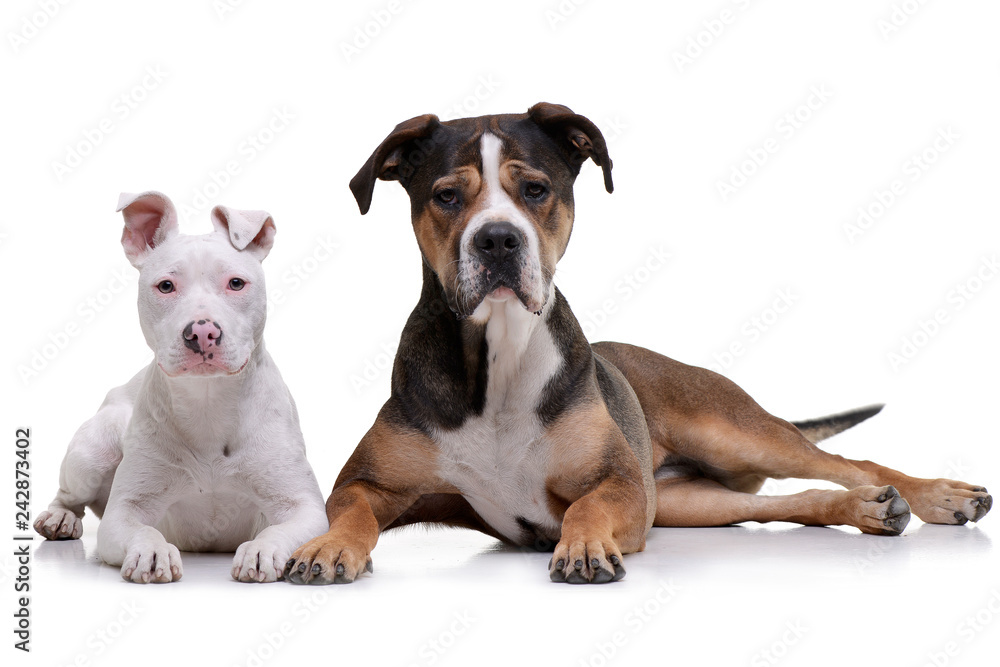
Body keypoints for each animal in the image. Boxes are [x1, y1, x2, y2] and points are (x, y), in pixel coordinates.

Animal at [34, 190, 328, 580]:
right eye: (166, 286)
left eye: (236, 283)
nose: (201, 332)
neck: (208, 403)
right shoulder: (124, 512)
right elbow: (140, 528)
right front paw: (151, 550)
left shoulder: (304, 507)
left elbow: (283, 528)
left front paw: (262, 549)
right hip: (94, 449)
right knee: (70, 494)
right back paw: (60, 517)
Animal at [286, 103, 988, 584]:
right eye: (447, 196)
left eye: (535, 189)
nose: (497, 239)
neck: (498, 358)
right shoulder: (365, 481)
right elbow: (351, 512)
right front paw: (326, 547)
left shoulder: (619, 481)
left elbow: (584, 510)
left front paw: (583, 546)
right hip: (686, 501)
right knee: (789, 501)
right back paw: (866, 510)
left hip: (730, 429)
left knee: (850, 462)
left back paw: (939, 496)